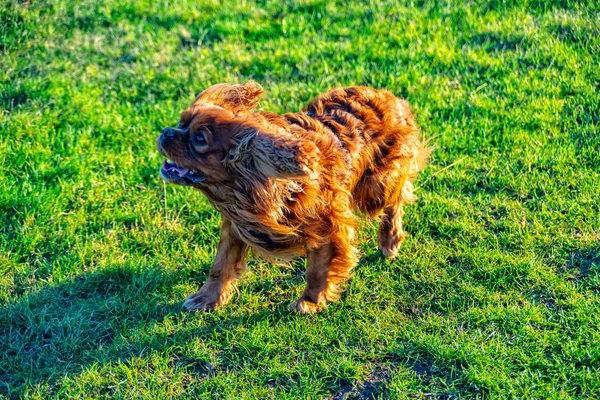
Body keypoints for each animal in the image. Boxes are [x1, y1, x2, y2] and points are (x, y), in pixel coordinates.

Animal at [157, 80, 428, 312]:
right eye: (181, 122)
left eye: (199, 139)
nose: (165, 132)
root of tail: (390, 96)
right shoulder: (235, 225)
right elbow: (220, 264)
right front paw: (207, 298)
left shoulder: (328, 227)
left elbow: (316, 270)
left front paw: (309, 302)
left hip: (376, 187)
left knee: (397, 197)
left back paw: (390, 240)